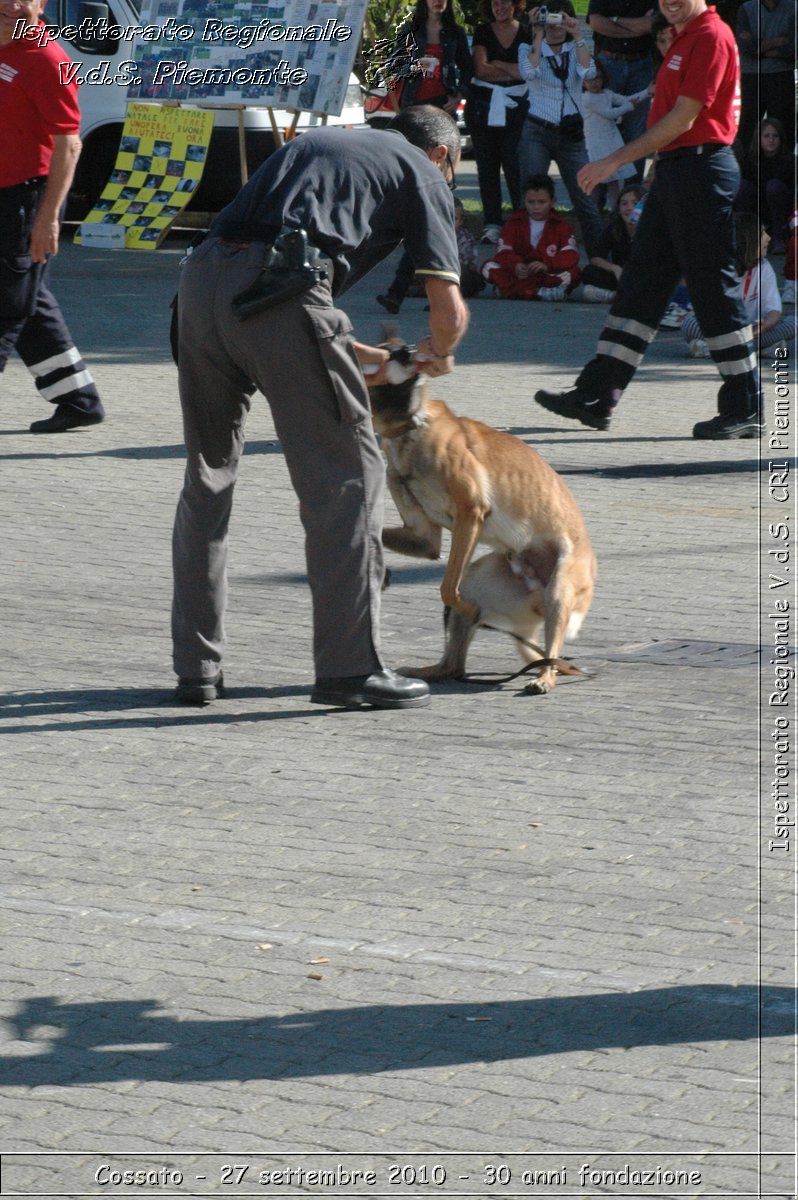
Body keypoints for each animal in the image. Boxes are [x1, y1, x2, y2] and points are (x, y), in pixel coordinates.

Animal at [367, 360, 590, 691]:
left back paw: (544, 678)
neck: (414, 427)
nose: (406, 354)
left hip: (559, 590)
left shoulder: (470, 515)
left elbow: (447, 588)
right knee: (453, 667)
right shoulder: (423, 539)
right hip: (482, 582)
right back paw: (428, 671)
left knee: (550, 654)